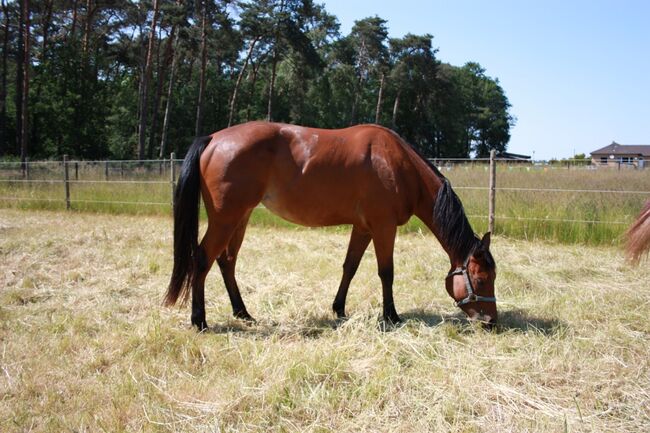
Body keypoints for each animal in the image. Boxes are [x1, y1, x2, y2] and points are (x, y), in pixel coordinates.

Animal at [163, 121, 496, 330]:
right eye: (481, 279)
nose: (491, 322)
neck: (397, 164)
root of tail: (214, 139)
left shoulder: (363, 228)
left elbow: (350, 267)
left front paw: (339, 308)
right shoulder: (384, 227)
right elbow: (386, 272)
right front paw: (391, 316)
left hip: (240, 218)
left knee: (227, 261)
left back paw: (243, 312)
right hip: (226, 218)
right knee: (202, 260)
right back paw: (200, 320)